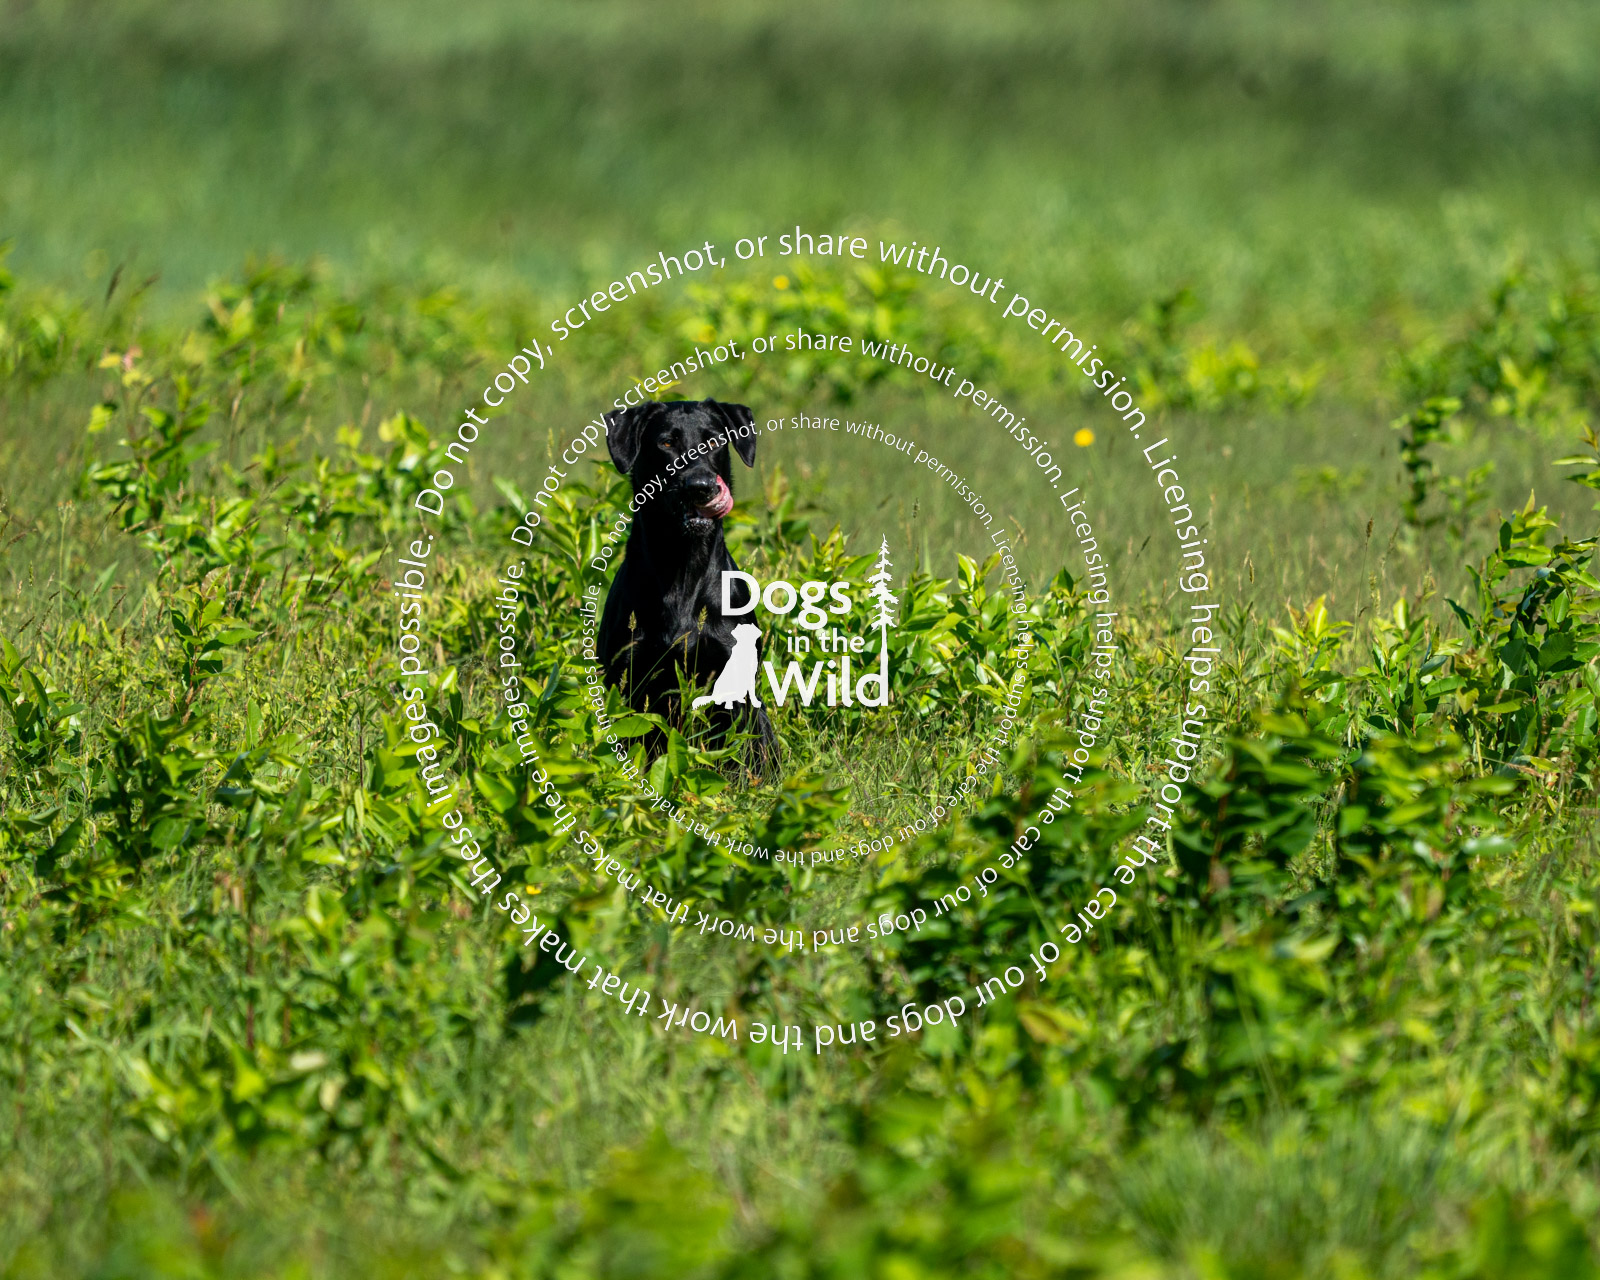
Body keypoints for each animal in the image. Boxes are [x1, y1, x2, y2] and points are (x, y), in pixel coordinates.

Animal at [597, 398, 779, 775]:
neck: (682, 570)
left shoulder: (733, 687)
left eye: (715, 442)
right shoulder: (627, 682)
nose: (701, 486)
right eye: (667, 443)